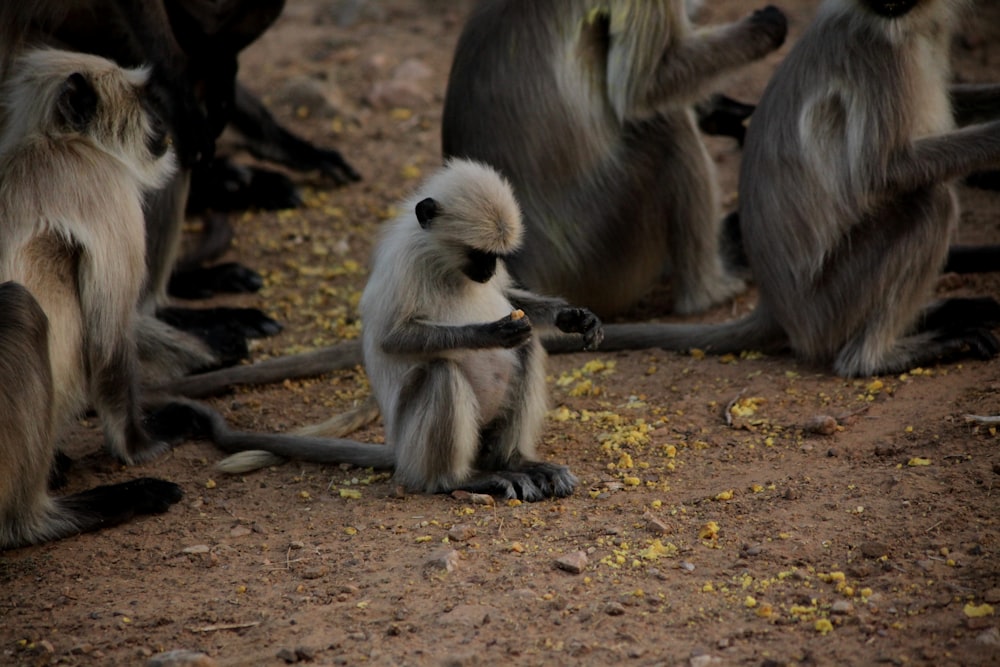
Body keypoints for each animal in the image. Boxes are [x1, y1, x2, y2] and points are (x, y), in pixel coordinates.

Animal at [0, 51, 186, 548]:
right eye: (143, 98)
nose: (164, 120)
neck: (52, 140)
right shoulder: (104, 186)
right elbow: (108, 344)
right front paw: (140, 444)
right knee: (20, 307)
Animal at [167, 159, 600, 498]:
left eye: (495, 256)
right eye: (477, 255)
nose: (488, 270)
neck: (441, 261)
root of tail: (402, 453)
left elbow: (510, 299)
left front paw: (572, 318)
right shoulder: (405, 260)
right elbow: (391, 340)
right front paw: (491, 333)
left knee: (528, 349)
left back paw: (514, 461)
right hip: (415, 439)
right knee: (443, 371)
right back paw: (459, 480)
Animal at [442, 0, 784, 318]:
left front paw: (717, 109)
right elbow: (645, 87)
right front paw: (766, 29)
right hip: (599, 253)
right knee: (667, 128)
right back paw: (710, 290)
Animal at [584, 0, 1000, 376]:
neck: (906, 27)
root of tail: (774, 306)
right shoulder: (875, 55)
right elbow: (882, 173)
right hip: (827, 305)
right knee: (929, 204)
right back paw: (875, 360)